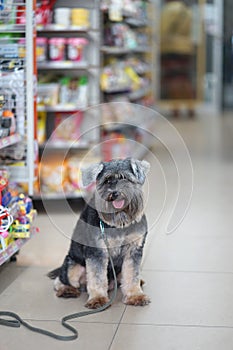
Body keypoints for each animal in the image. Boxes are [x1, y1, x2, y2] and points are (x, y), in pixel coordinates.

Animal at [48, 159, 151, 308]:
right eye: (106, 181)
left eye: (125, 178)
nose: (115, 193)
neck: (119, 222)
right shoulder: (97, 251)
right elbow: (96, 277)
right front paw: (98, 298)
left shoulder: (133, 250)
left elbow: (132, 275)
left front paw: (135, 295)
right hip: (73, 266)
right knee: (61, 280)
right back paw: (67, 290)